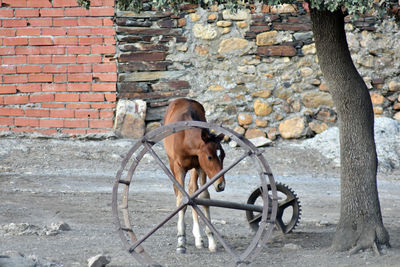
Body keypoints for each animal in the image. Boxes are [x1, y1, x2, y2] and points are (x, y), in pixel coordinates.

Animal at [162, 99, 225, 255]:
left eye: (223, 155)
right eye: (210, 157)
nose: (221, 185)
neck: (186, 138)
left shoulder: (200, 167)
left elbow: (203, 196)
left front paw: (211, 241)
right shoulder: (179, 168)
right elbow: (181, 199)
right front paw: (181, 241)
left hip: (194, 169)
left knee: (192, 190)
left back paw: (198, 238)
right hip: (171, 163)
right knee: (179, 191)